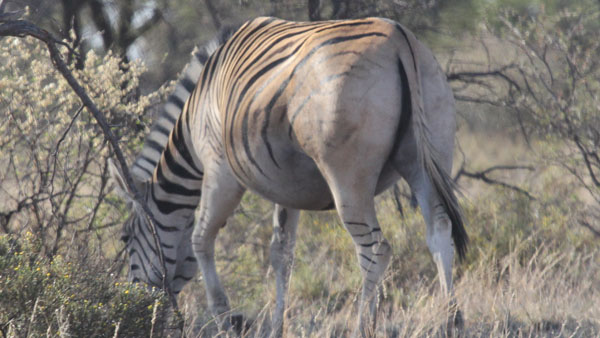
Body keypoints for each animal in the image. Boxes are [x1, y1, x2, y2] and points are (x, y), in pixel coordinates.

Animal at [110, 17, 472, 336]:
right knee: (439, 234)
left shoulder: (220, 170)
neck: (195, 115)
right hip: (426, 159)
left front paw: (226, 322)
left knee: (375, 250)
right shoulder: (287, 189)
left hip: (348, 179)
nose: (133, 311)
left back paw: (363, 329)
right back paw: (451, 324)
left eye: (125, 238)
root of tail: (399, 38)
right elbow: (281, 255)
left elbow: (201, 241)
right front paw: (276, 329)